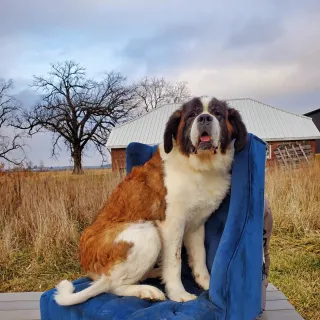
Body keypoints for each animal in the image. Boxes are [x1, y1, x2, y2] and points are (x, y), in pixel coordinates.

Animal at [55, 95, 248, 304]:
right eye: (192, 115)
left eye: (217, 113)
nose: (205, 118)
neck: (198, 168)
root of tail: (90, 269)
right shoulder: (171, 224)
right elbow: (175, 261)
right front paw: (178, 293)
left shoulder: (196, 225)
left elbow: (200, 256)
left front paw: (206, 283)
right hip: (147, 233)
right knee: (113, 286)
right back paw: (146, 290)